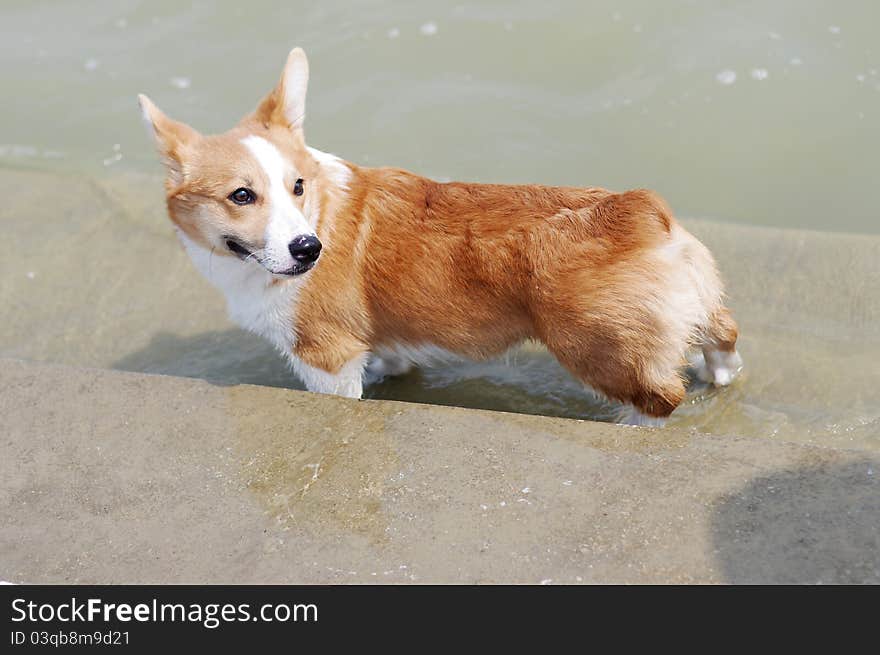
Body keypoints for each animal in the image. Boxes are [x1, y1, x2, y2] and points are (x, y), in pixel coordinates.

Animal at [139, 46, 744, 426]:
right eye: (242, 195)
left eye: (297, 186)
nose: (309, 250)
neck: (320, 213)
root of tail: (640, 211)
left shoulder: (325, 358)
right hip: (698, 301)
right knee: (722, 337)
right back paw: (719, 375)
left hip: (597, 349)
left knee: (660, 398)